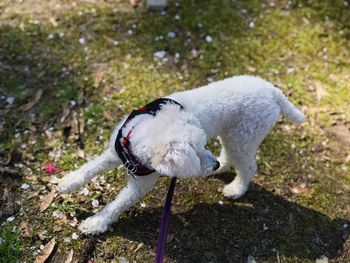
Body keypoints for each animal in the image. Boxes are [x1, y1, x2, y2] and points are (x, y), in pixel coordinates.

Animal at [58, 76, 304, 235]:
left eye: (201, 147)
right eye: (197, 152)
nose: (213, 165)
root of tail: (273, 92)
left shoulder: (140, 186)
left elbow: (118, 204)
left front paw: (96, 223)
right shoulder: (113, 152)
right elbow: (90, 168)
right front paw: (68, 182)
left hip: (244, 137)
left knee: (249, 167)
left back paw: (235, 188)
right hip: (233, 134)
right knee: (230, 155)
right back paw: (224, 168)